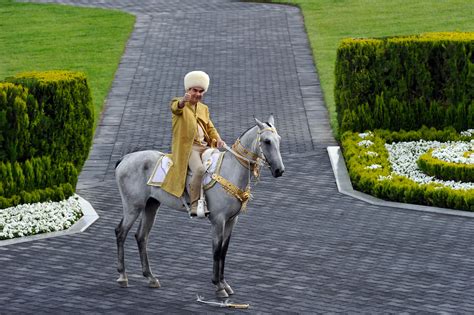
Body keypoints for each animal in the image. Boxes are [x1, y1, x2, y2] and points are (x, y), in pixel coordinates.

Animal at [115, 115, 286, 298]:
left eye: (278, 139)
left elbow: (224, 251)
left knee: (141, 236)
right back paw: (123, 276)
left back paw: (150, 278)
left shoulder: (232, 221)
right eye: (267, 141)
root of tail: (125, 158)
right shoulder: (218, 221)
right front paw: (218, 286)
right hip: (133, 207)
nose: (279, 170)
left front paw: (225, 284)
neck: (230, 171)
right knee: (121, 233)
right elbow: (217, 251)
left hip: (151, 206)